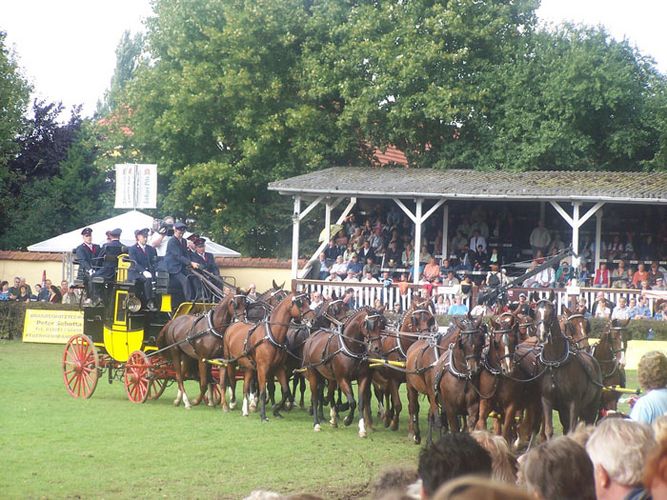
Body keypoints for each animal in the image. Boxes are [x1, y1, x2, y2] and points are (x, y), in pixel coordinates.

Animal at [219, 292, 314, 420]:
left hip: (249, 366)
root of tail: (233, 324)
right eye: (300, 303)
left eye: (308, 301)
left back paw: (245, 410)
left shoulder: (278, 367)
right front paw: (263, 414)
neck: (272, 335)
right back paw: (232, 403)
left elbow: (285, 391)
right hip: (230, 360)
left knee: (245, 386)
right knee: (231, 380)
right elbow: (264, 391)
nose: (313, 319)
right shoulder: (263, 368)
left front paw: (277, 409)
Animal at [302, 304, 386, 438]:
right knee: (315, 397)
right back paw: (317, 423)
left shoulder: (362, 377)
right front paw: (347, 420)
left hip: (330, 377)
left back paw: (333, 418)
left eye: (382, 325)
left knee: (330, 393)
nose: (377, 348)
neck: (350, 347)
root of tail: (312, 337)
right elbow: (352, 402)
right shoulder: (342, 378)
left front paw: (362, 428)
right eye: (370, 325)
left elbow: (360, 402)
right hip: (313, 373)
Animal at [404, 314, 482, 444]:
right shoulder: (437, 395)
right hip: (411, 386)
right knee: (414, 407)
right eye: (463, 341)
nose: (473, 369)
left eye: (480, 340)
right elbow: (441, 420)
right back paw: (415, 434)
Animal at [536, 296, 604, 438]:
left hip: (591, 407)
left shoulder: (574, 402)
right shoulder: (547, 400)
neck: (555, 363)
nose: (542, 334)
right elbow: (548, 430)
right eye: (535, 312)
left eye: (587, 325)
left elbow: (573, 430)